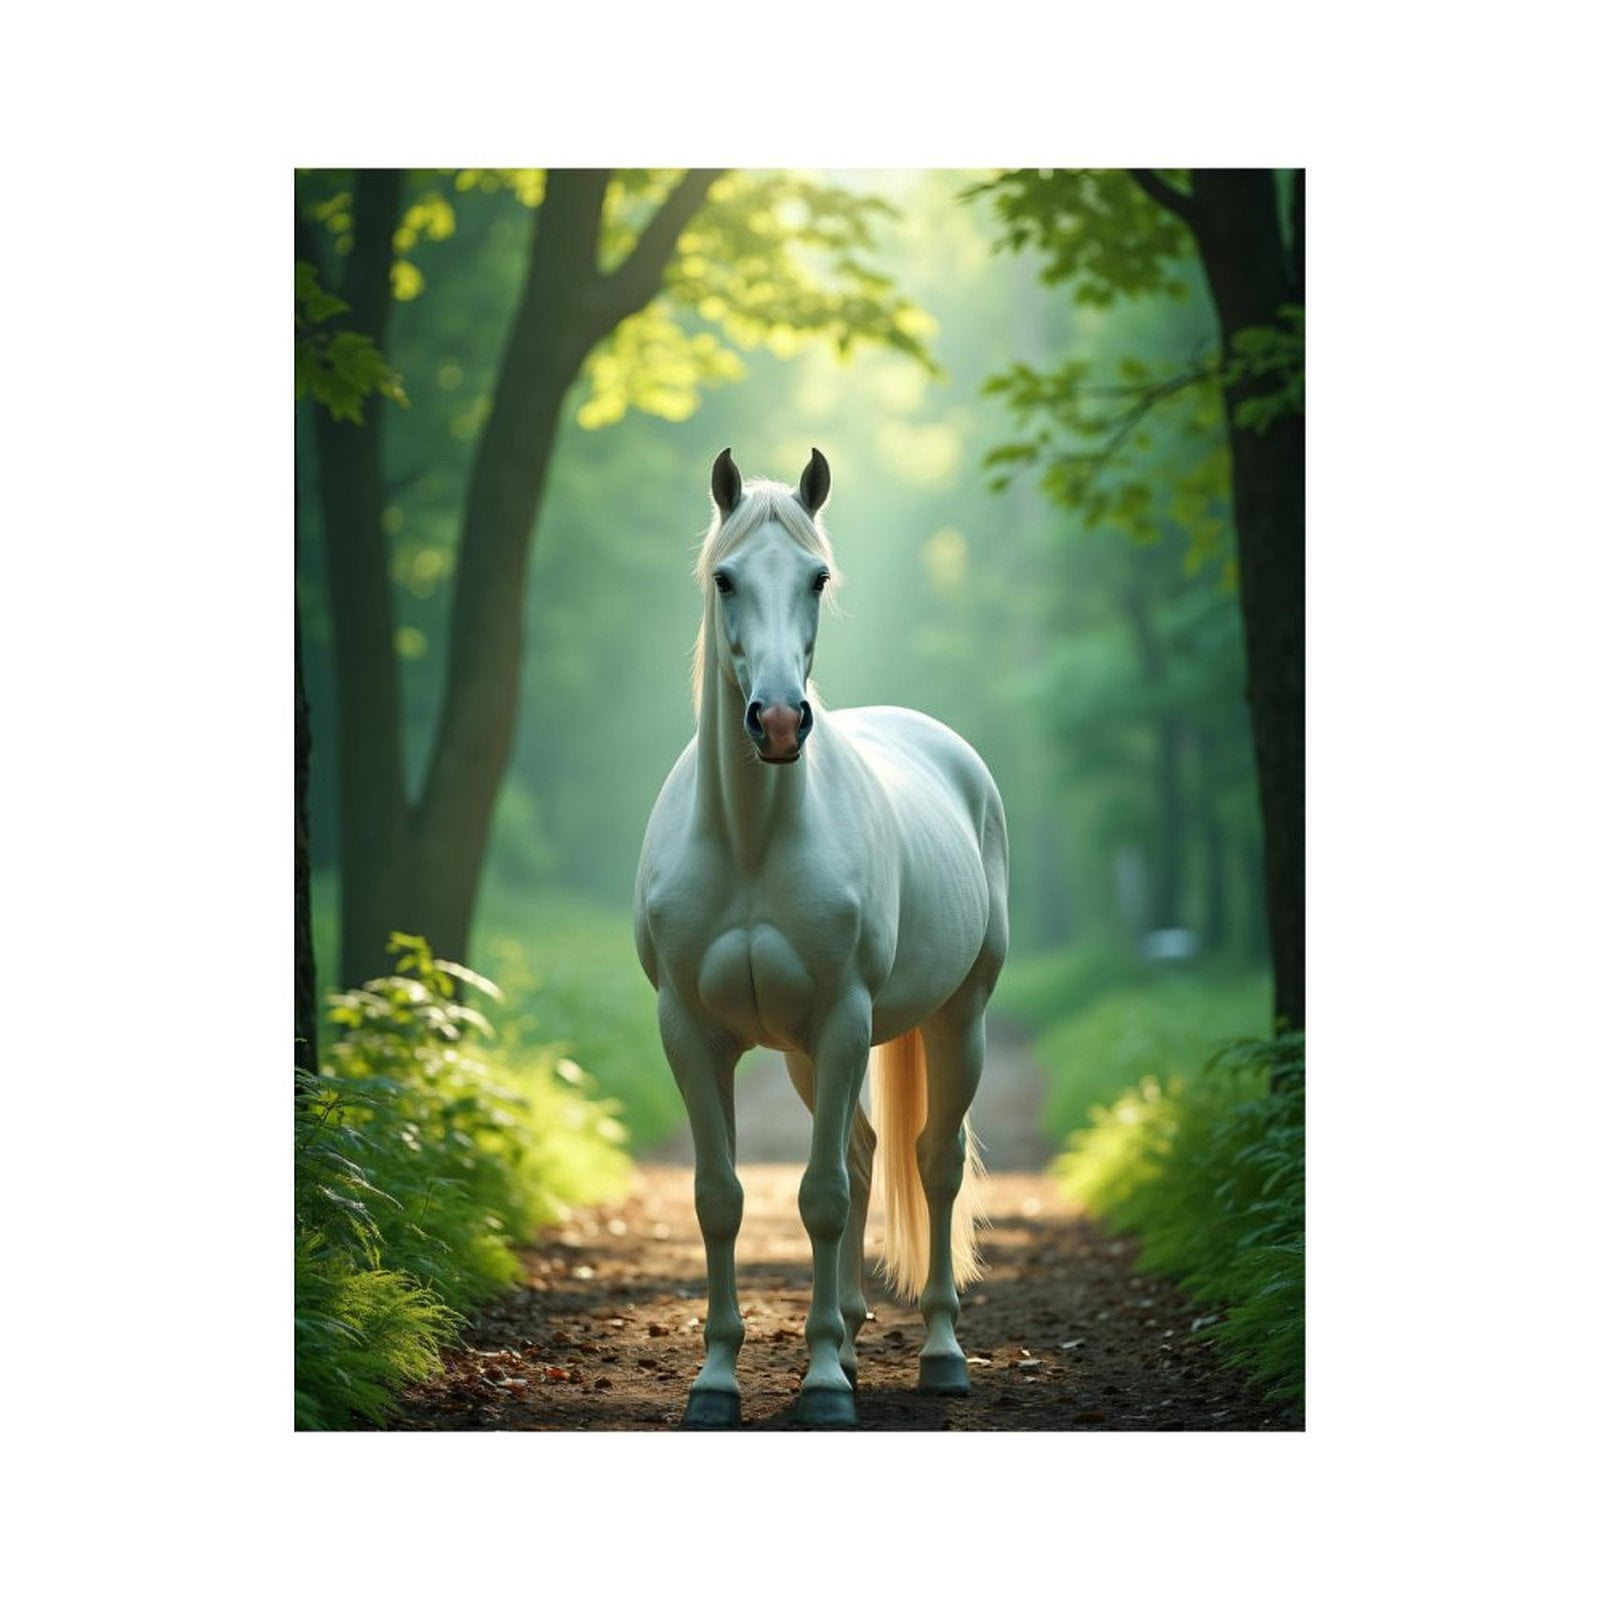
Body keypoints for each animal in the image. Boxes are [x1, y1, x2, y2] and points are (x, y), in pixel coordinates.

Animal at [633, 447, 1009, 1428]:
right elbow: (721, 1198)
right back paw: (847, 1327)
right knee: (868, 1152)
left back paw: (939, 1353)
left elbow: (824, 1199)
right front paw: (717, 1380)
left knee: (931, 1164)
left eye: (818, 577)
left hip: (958, 1019)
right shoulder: (692, 1034)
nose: (776, 722)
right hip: (806, 1056)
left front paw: (826, 1385)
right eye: (725, 578)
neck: (750, 840)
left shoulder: (844, 1021)